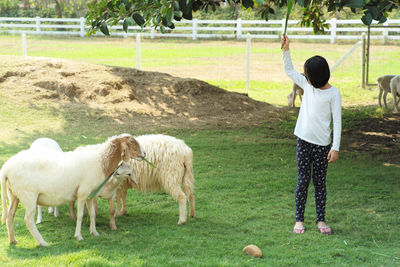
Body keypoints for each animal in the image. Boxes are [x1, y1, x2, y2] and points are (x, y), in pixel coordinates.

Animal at [0, 134, 145, 247]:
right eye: (132, 142)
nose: (144, 154)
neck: (100, 162)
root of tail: (6, 168)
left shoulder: (90, 195)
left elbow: (92, 214)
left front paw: (94, 232)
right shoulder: (82, 193)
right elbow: (80, 215)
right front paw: (78, 236)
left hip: (14, 195)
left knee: (10, 216)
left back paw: (13, 240)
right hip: (28, 195)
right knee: (28, 220)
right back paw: (43, 242)